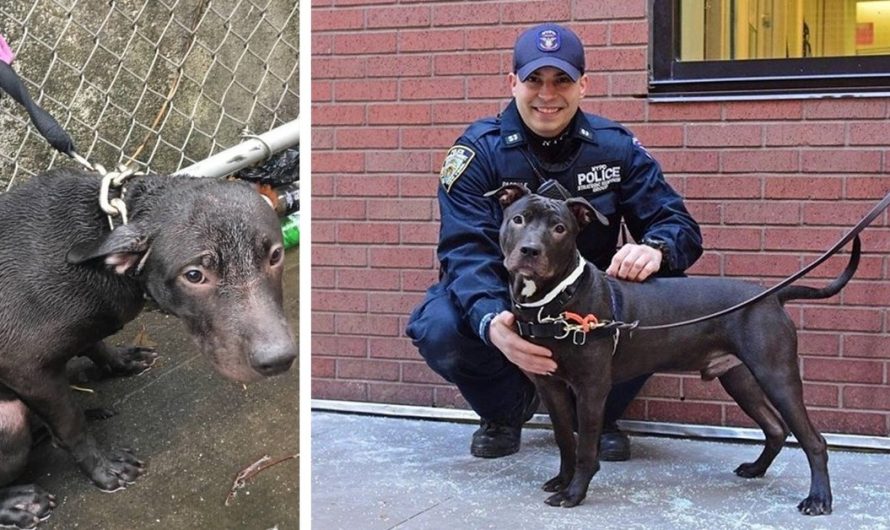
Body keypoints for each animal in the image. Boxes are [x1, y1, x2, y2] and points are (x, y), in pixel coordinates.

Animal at [0, 167, 298, 524]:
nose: (279, 359)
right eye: (194, 275)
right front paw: (104, 468)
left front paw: (121, 360)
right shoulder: (26, 368)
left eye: (275, 255)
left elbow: (94, 343)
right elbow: (72, 423)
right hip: (9, 420)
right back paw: (17, 503)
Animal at [490, 184, 856, 512]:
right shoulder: (550, 386)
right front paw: (562, 481)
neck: (556, 300)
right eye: (519, 219)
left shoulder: (591, 389)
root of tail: (771, 296)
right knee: (776, 428)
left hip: (777, 375)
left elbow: (585, 449)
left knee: (814, 441)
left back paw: (818, 499)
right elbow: (565, 439)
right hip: (741, 379)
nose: (530, 250)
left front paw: (575, 493)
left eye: (560, 228)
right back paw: (756, 468)